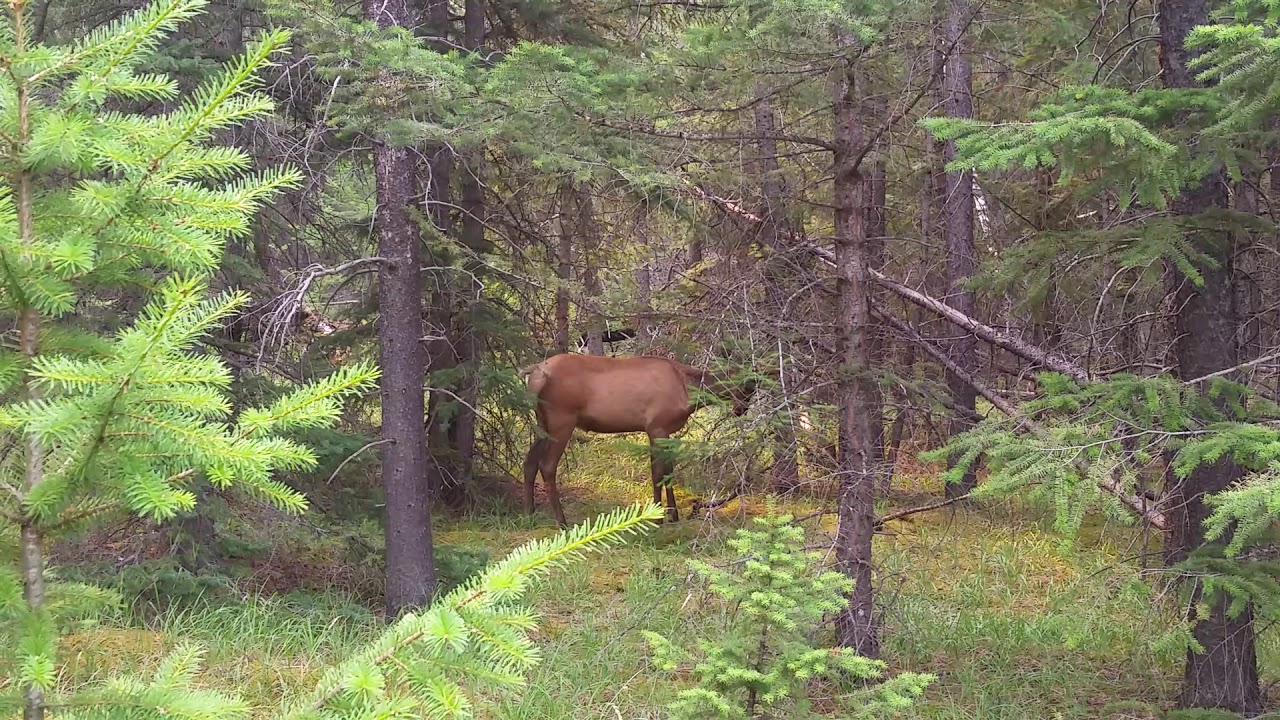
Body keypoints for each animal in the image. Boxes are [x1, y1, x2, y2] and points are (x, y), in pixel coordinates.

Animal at [520, 353, 756, 526]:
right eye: (746, 386)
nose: (741, 410)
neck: (688, 394)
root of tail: (534, 372)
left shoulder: (663, 431)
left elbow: (668, 471)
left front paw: (673, 514)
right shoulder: (657, 426)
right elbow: (658, 472)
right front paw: (658, 516)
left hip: (542, 422)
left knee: (529, 461)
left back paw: (529, 513)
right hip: (562, 420)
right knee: (547, 465)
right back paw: (562, 522)